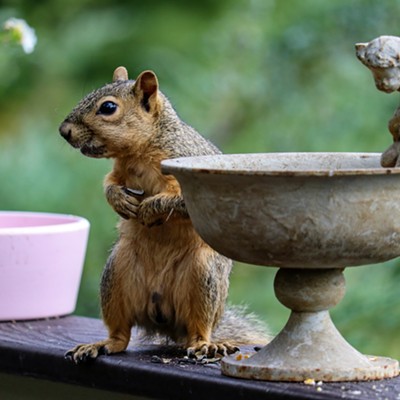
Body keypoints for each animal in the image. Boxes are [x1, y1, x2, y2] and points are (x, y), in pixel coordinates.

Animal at [59, 67, 270, 364]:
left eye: (108, 107)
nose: (63, 131)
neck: (140, 152)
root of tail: (166, 323)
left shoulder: (191, 173)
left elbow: (178, 201)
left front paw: (151, 208)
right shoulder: (119, 171)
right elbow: (109, 183)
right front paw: (118, 199)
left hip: (202, 277)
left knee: (198, 328)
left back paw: (206, 344)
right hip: (116, 275)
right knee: (121, 336)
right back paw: (102, 344)